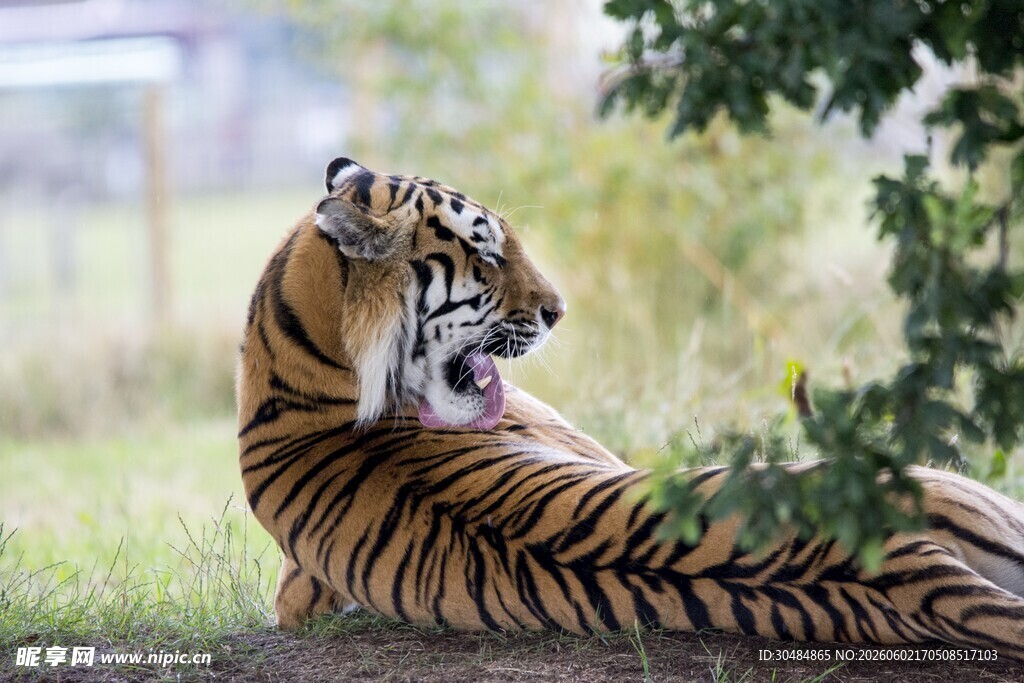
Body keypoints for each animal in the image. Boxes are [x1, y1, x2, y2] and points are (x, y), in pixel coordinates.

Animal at [237, 157, 1024, 659]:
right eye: (485, 254)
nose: (558, 311)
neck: (297, 359)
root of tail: (903, 573)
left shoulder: (297, 587)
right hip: (959, 492)